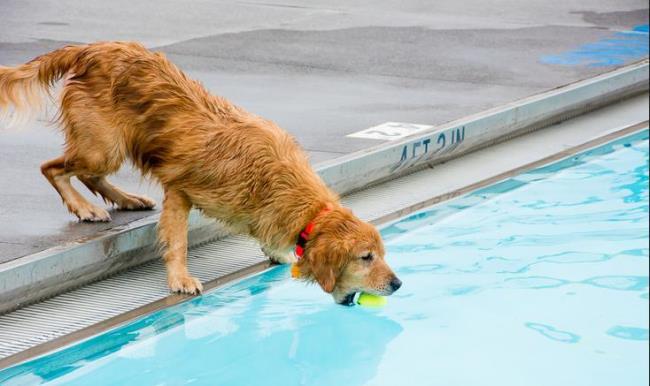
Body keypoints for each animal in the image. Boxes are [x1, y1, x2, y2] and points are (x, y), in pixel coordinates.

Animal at [1, 40, 400, 304]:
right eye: (366, 257)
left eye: (381, 253)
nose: (397, 284)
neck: (277, 181)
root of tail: (92, 48)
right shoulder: (181, 189)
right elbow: (178, 241)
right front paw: (180, 278)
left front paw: (276, 252)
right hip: (104, 147)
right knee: (54, 168)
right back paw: (85, 208)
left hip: (107, 148)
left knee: (85, 174)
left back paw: (127, 200)